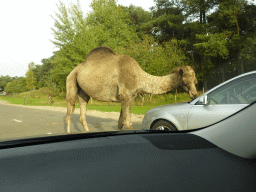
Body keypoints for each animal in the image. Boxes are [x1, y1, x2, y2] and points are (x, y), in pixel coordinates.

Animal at [65, 46, 197, 134]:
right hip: (71, 80)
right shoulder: (126, 96)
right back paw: (68, 133)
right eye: (186, 82)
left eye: (195, 81)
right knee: (69, 110)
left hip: (83, 91)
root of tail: (75, 69)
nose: (194, 94)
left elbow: (120, 121)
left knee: (82, 113)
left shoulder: (128, 98)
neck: (139, 78)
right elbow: (128, 123)